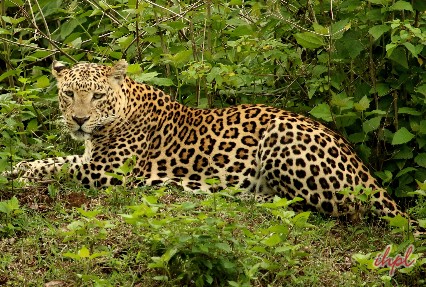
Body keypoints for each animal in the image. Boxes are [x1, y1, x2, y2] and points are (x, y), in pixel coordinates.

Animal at [8, 59, 424, 235]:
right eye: (68, 94)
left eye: (95, 95)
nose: (78, 120)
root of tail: (365, 171)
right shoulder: (88, 157)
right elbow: (53, 159)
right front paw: (15, 169)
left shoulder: (106, 171)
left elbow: (53, 167)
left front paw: (17, 174)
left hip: (284, 141)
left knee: (337, 211)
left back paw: (239, 195)